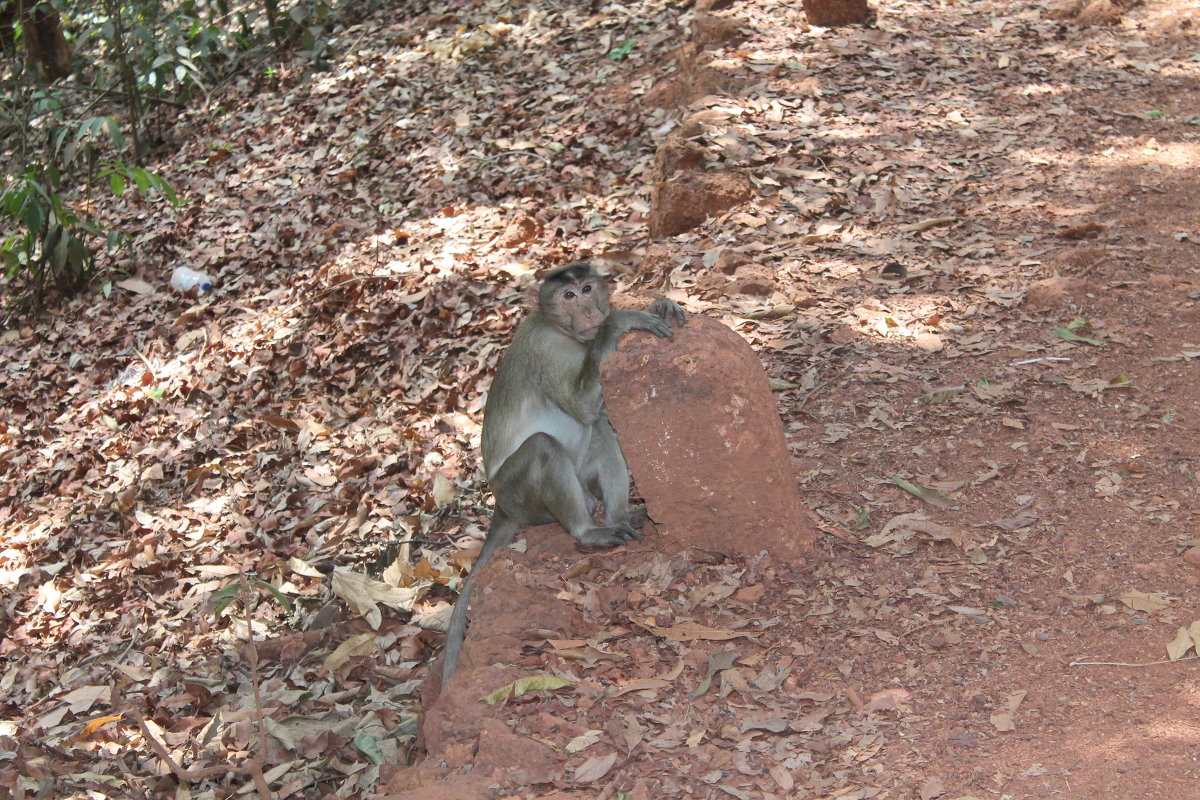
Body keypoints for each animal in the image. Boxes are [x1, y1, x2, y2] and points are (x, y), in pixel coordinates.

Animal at [441, 262, 686, 681]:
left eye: (587, 289)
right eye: (568, 296)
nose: (590, 312)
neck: (562, 331)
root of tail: (500, 505)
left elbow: (596, 416)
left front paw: (658, 303)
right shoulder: (546, 348)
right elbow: (581, 406)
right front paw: (619, 321)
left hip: (580, 478)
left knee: (601, 430)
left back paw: (619, 517)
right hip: (521, 500)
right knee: (544, 446)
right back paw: (587, 532)